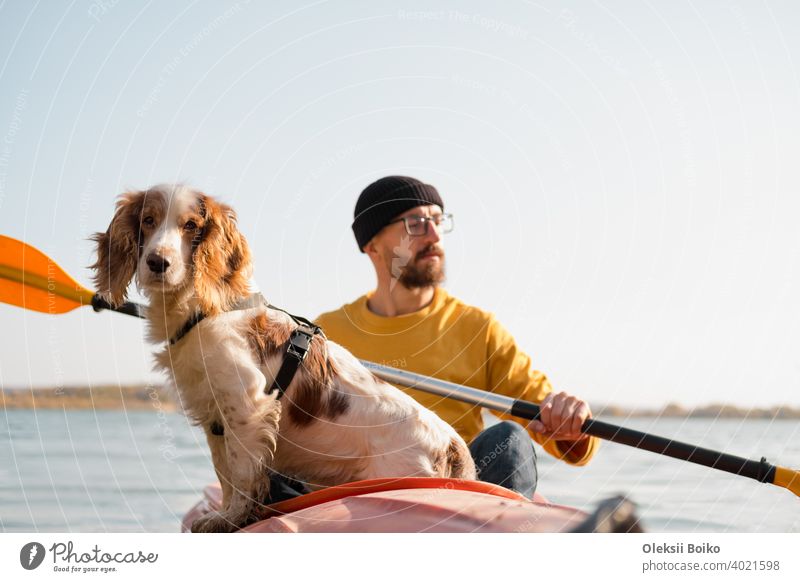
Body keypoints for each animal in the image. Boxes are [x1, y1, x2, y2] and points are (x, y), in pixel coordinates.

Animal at [90, 184, 476, 532]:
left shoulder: (246, 403)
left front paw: (230, 519)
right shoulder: (215, 415)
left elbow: (240, 473)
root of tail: (452, 444)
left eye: (191, 225)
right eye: (148, 220)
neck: (206, 308)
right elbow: (224, 473)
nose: (158, 262)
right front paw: (224, 514)